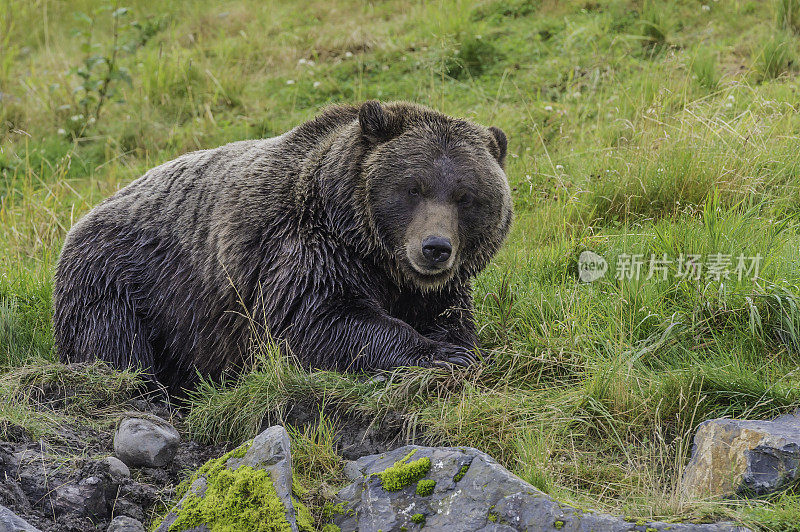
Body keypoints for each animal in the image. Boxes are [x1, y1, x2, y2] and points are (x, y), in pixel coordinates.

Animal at [53, 102, 512, 392]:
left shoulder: (427, 289)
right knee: (113, 343)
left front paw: (461, 348)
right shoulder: (301, 249)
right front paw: (444, 355)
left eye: (466, 196)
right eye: (413, 188)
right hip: (124, 281)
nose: (435, 247)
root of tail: (85, 215)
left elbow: (450, 317)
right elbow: (314, 321)